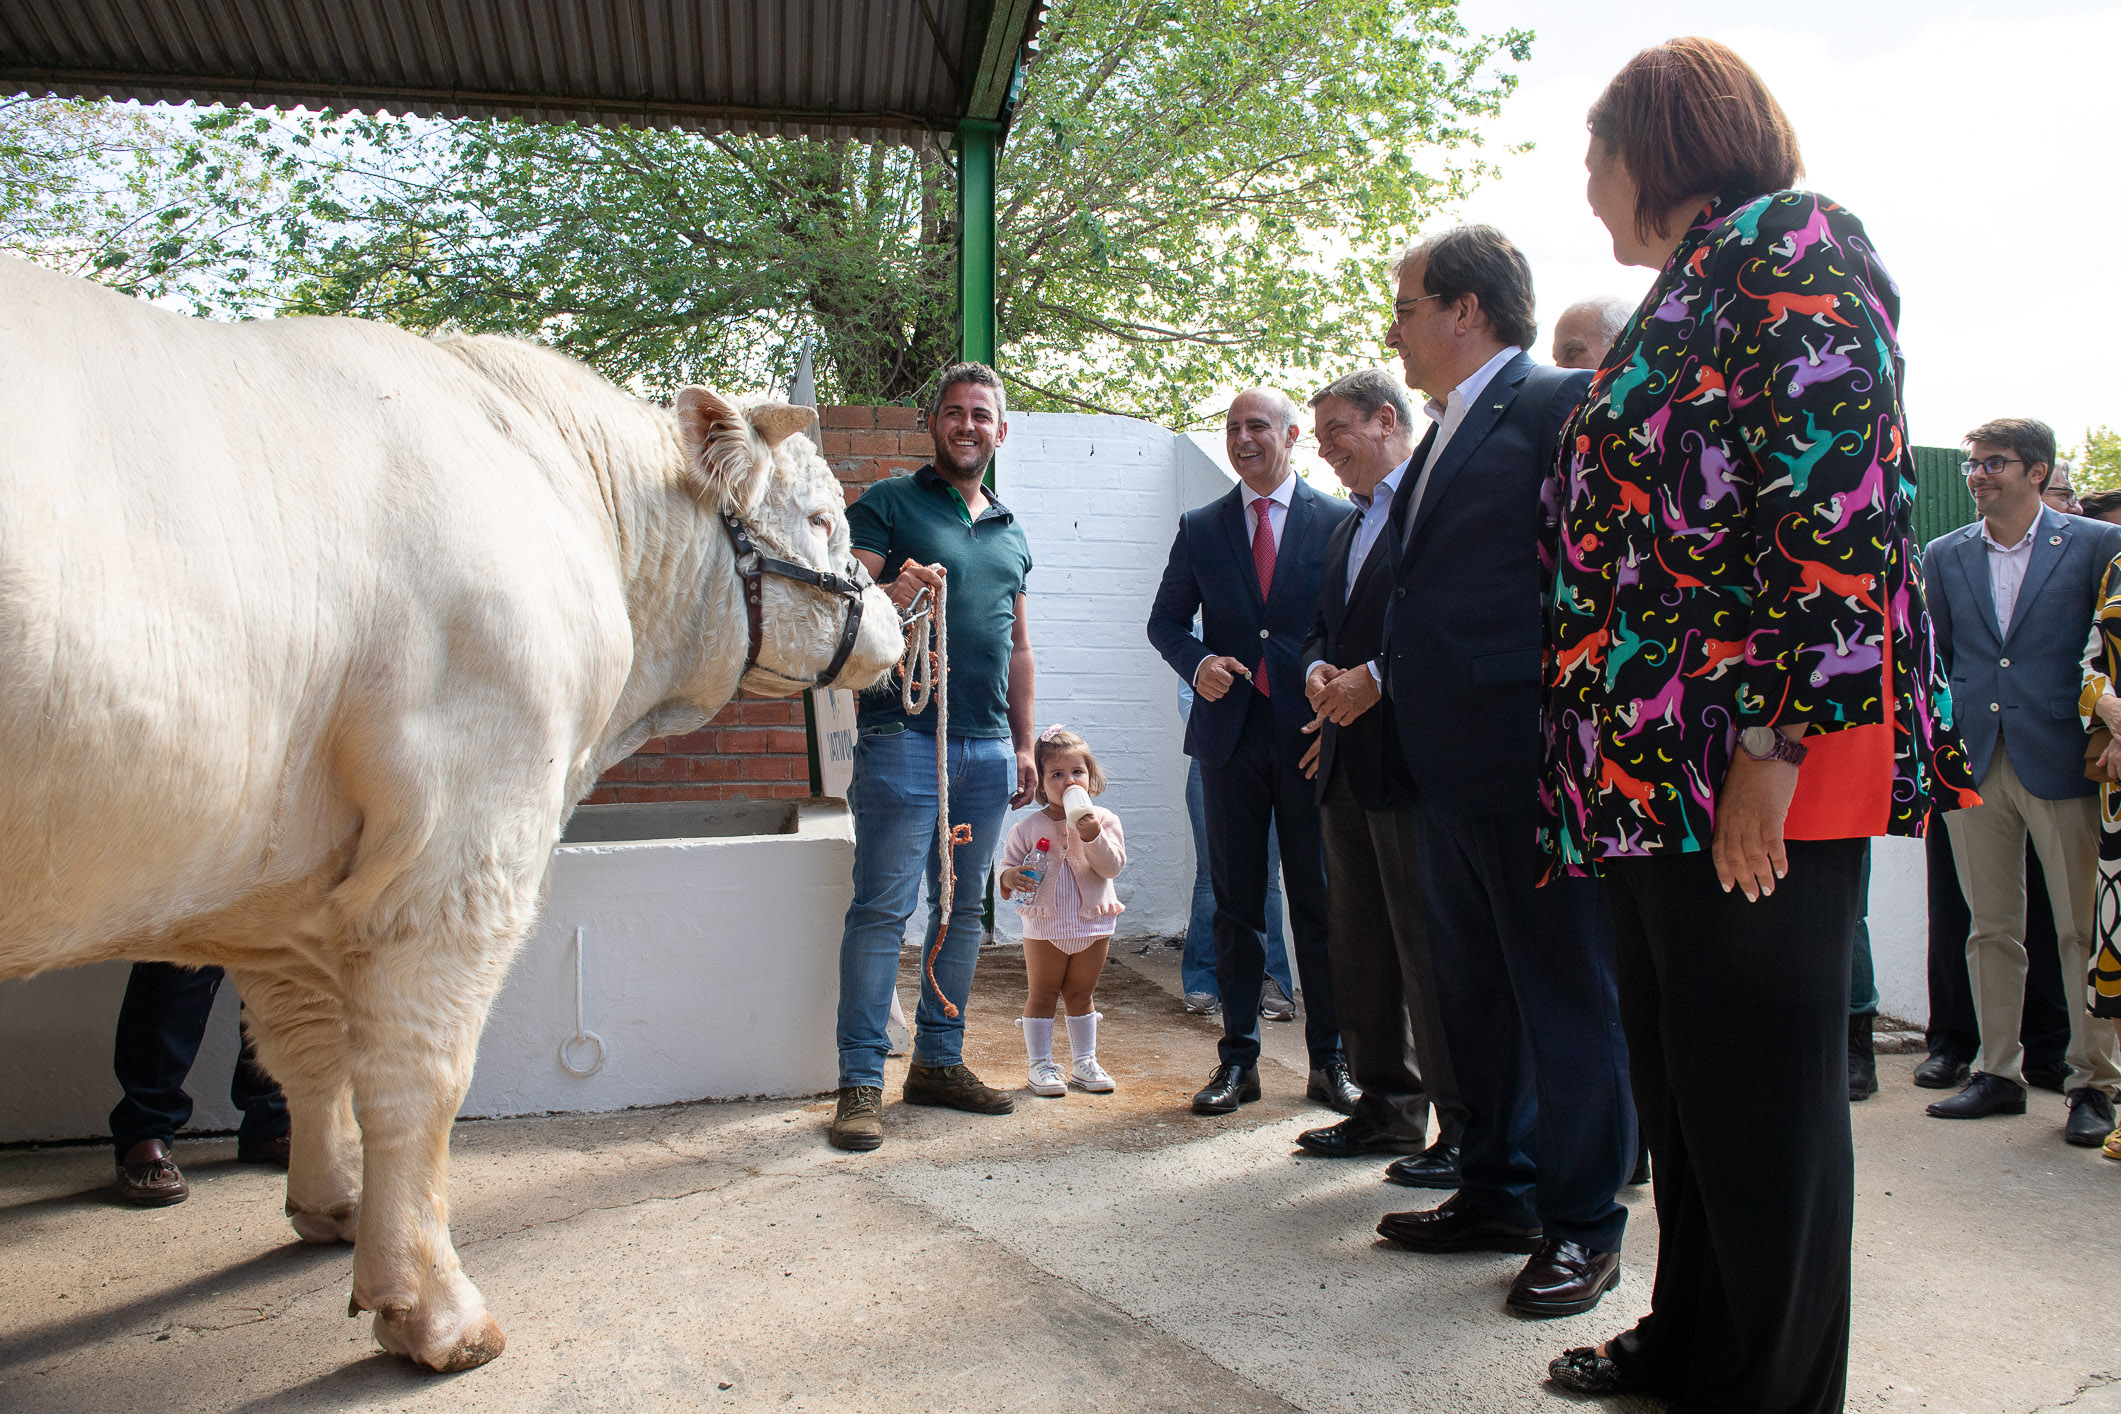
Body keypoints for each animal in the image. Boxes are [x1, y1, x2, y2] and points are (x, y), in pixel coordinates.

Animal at [0, 254, 903, 1373]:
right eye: (821, 518)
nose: (897, 622)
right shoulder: (465, 836)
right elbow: (413, 1070)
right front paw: (431, 1307)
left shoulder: (282, 886)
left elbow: (307, 1046)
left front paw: (333, 1203)